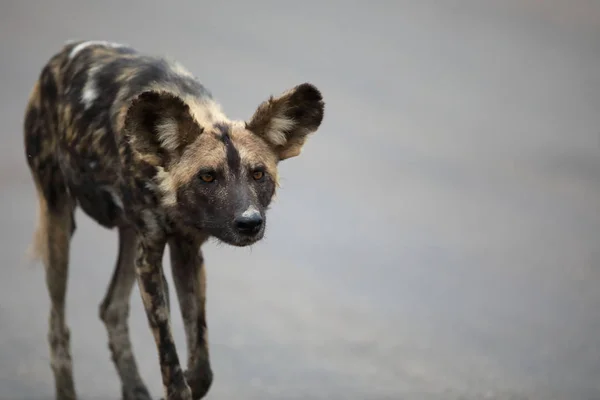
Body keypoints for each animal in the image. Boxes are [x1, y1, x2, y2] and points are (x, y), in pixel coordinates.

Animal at [23, 40, 326, 400]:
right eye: (207, 176)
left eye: (258, 174)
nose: (249, 223)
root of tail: (63, 55)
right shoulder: (151, 260)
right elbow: (171, 362)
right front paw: (176, 382)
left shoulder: (187, 251)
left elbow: (201, 367)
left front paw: (189, 377)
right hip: (59, 223)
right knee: (58, 329)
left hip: (130, 236)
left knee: (112, 308)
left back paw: (135, 389)